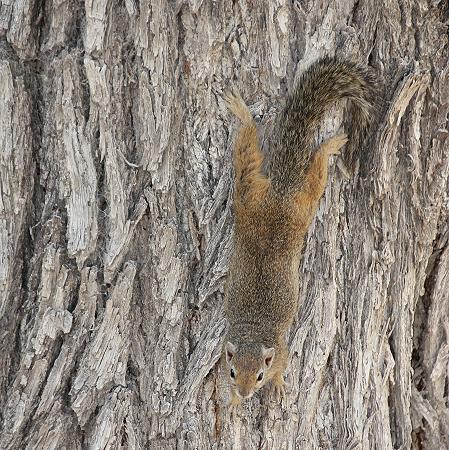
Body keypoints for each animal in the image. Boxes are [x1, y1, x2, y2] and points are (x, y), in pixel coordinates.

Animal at [222, 58, 376, 406]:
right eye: (232, 372)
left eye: (260, 375)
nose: (246, 393)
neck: (254, 331)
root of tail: (280, 193)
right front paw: (235, 400)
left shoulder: (281, 351)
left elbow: (284, 364)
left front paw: (278, 384)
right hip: (251, 197)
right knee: (248, 155)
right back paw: (242, 112)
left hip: (296, 204)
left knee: (312, 172)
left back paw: (329, 145)